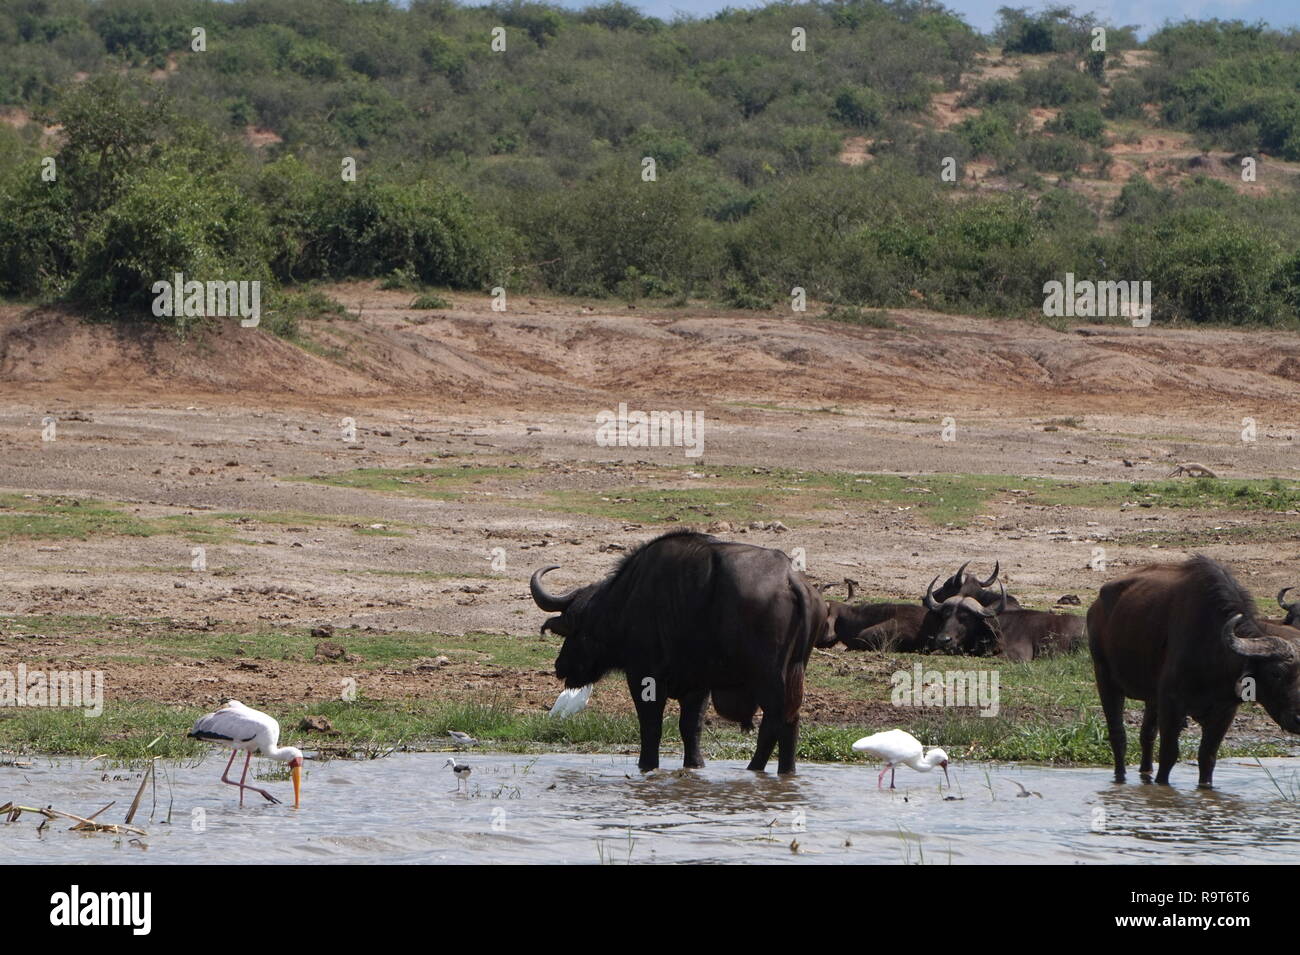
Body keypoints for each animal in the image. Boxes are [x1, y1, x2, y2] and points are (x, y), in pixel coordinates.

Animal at [529, 529, 826, 774]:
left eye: (577, 630)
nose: (560, 666)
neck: (624, 603)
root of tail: (791, 580)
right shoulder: (698, 685)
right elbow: (690, 727)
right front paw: (694, 765)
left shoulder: (644, 677)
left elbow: (651, 726)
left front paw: (647, 766)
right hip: (793, 674)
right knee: (789, 722)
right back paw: (782, 771)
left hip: (767, 678)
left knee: (774, 722)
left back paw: (755, 767)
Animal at [1087, 555, 1300, 787]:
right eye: (1276, 673)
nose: (1299, 718)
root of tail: (1096, 607)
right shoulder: (1171, 704)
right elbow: (1169, 755)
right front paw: (1162, 785)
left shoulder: (1224, 712)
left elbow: (1207, 756)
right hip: (1105, 677)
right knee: (1118, 735)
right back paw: (1120, 777)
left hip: (1152, 697)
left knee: (1147, 735)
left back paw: (1145, 773)